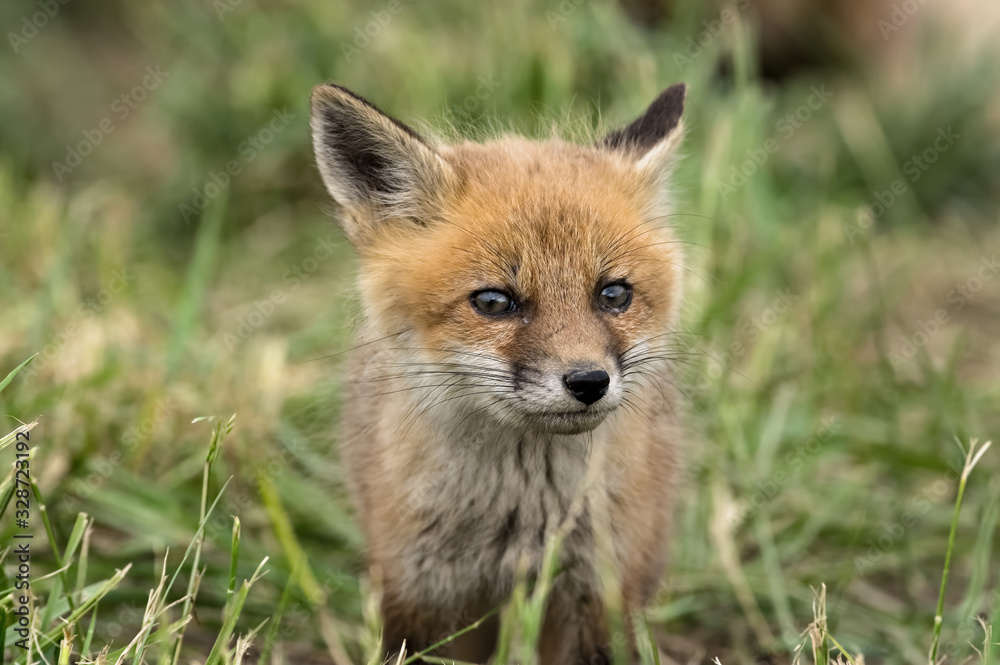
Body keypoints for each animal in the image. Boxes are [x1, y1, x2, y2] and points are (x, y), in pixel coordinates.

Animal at [309, 82, 688, 664]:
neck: (520, 516)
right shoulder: (417, 593)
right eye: (494, 302)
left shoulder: (599, 595)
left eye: (613, 294)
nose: (588, 382)